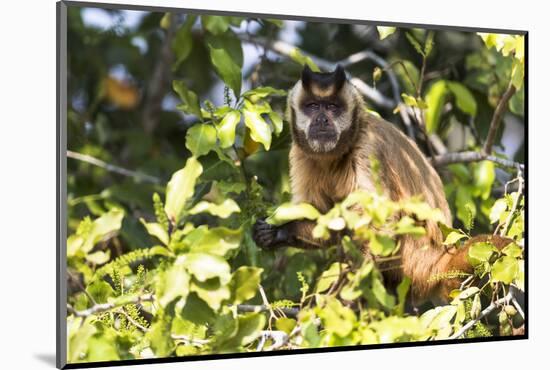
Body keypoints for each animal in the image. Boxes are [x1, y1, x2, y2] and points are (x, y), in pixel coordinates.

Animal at [253, 65, 512, 304]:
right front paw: (279, 232)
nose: (322, 119)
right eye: (314, 106)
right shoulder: (300, 153)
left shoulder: (368, 147)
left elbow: (383, 221)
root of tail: (438, 257)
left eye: (333, 107)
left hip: (412, 256)